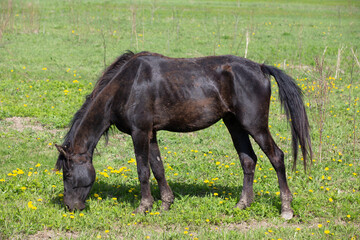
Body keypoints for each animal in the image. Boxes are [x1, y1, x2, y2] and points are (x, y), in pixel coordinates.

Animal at [54, 50, 310, 219]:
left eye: (68, 174)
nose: (70, 207)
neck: (127, 86)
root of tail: (261, 68)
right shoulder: (151, 134)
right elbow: (158, 168)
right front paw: (165, 204)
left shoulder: (140, 133)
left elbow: (143, 170)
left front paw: (144, 206)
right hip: (234, 125)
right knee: (248, 160)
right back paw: (242, 204)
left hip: (255, 125)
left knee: (277, 157)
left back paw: (286, 209)